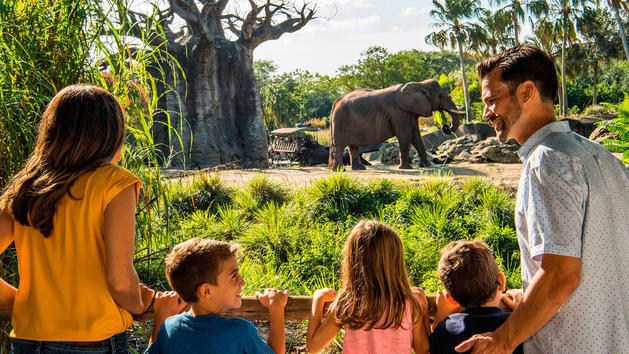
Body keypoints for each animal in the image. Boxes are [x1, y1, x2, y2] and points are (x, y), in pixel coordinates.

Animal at [326, 79, 464, 170]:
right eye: (440, 95)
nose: (445, 126)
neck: (419, 84)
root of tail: (336, 101)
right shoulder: (399, 112)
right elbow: (405, 136)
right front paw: (407, 168)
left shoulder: (410, 112)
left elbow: (416, 137)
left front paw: (426, 166)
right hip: (340, 121)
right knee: (339, 146)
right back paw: (339, 170)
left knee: (352, 146)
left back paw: (359, 169)